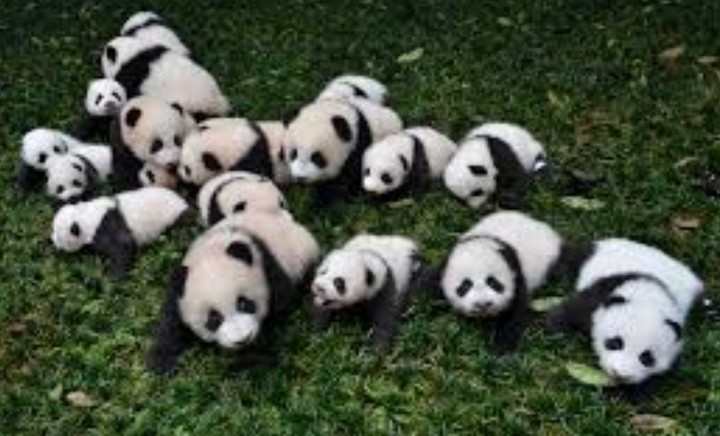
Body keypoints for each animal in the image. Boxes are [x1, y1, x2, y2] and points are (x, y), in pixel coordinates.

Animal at [52, 187, 188, 276]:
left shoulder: (106, 227)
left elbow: (123, 246)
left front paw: (113, 277)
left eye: (58, 236)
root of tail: (184, 204)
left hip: (173, 218)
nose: (52, 242)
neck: (84, 216)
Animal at [146, 211, 321, 374]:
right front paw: (161, 362)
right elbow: (171, 322)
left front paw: (251, 360)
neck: (212, 249)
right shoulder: (179, 291)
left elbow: (280, 308)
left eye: (244, 303)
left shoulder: (266, 264)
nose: (242, 340)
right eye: (214, 318)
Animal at [439, 211, 569, 352]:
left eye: (493, 282)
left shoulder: (515, 271)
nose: (483, 304)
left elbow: (514, 312)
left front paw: (501, 348)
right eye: (466, 285)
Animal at [547, 238, 704, 397]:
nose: (620, 374)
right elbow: (572, 311)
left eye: (647, 358)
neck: (651, 295)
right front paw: (560, 335)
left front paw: (626, 392)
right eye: (615, 343)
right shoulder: (603, 293)